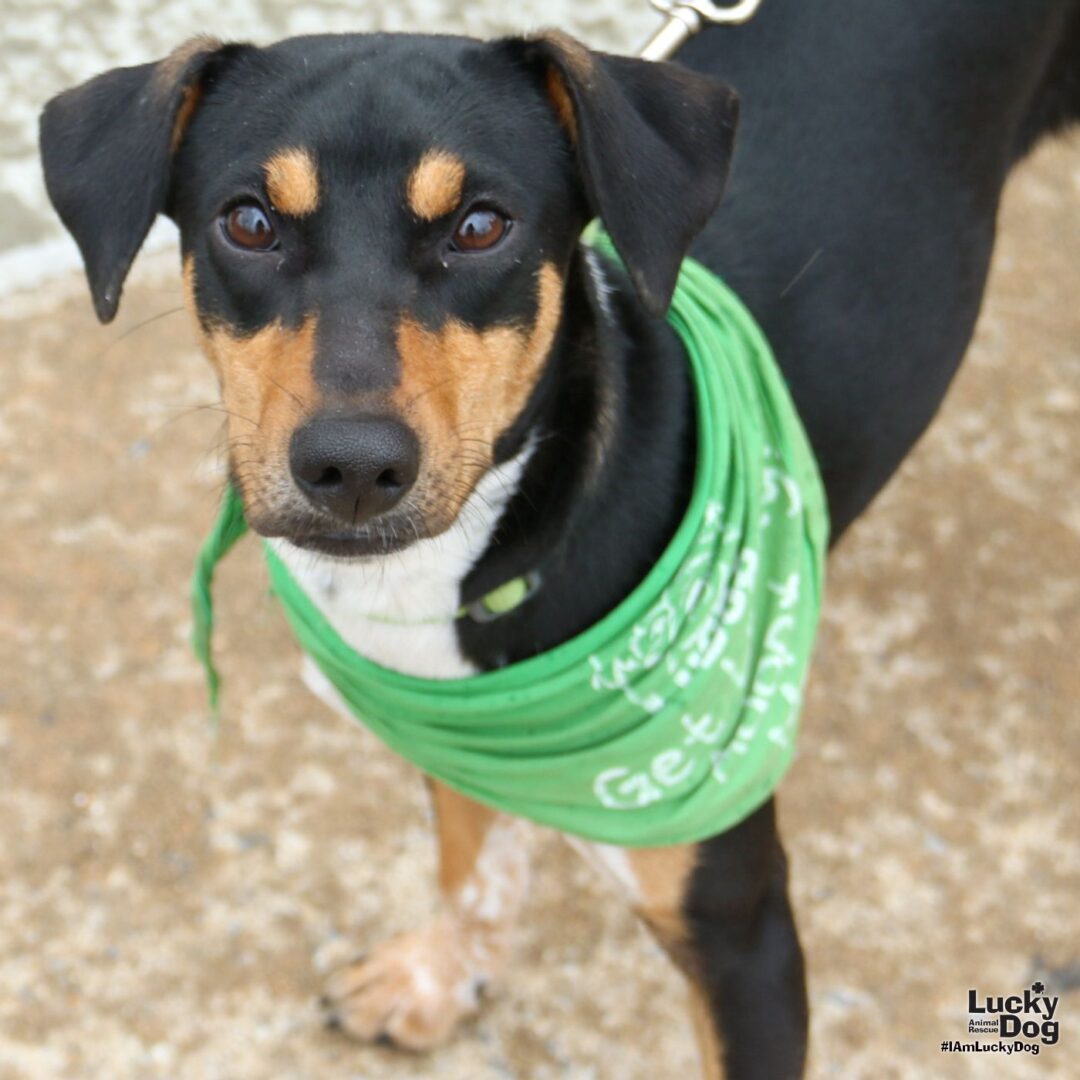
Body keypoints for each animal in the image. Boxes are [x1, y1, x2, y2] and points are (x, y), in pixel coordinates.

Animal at [39, 1, 1079, 1075]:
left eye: (481, 225)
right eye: (248, 221)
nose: (352, 468)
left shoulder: (743, 934)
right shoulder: (459, 738)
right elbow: (474, 865)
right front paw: (441, 978)